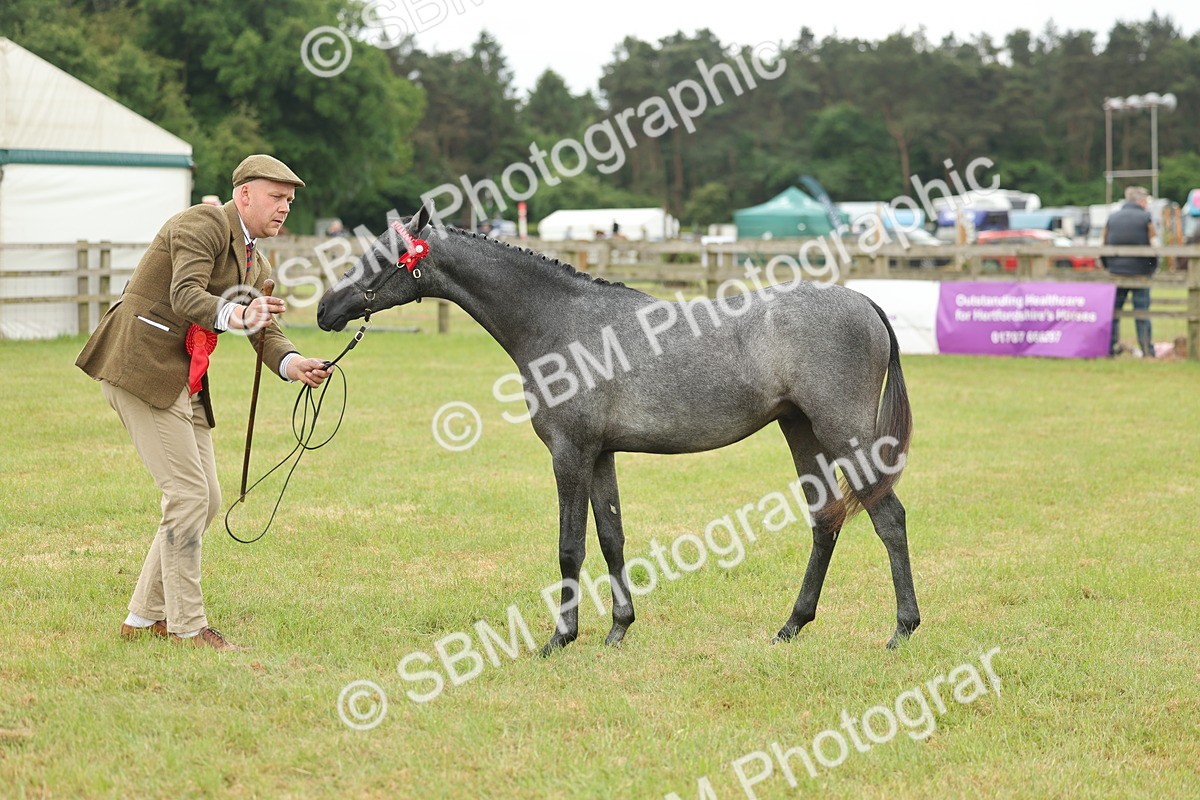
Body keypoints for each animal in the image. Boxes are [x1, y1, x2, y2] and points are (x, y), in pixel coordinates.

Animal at [316, 207, 919, 654]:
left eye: (380, 257)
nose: (325, 309)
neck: (559, 322)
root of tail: (862, 300)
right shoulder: (601, 454)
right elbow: (611, 537)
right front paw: (618, 629)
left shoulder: (570, 451)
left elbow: (570, 546)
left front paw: (560, 638)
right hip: (801, 432)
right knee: (826, 520)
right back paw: (791, 625)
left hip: (845, 436)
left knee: (888, 517)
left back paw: (902, 630)